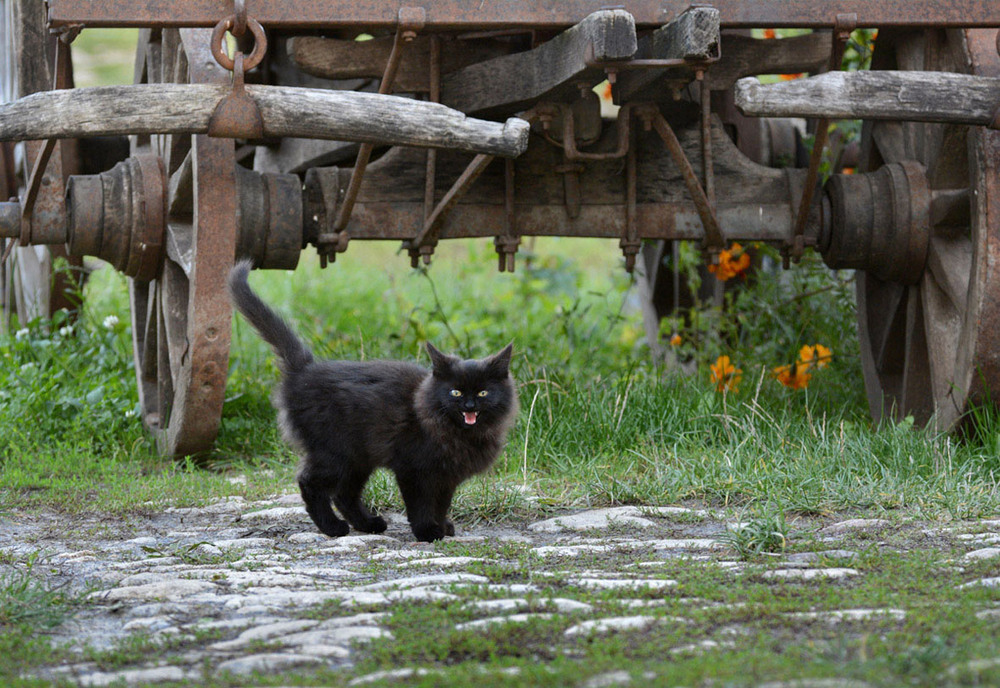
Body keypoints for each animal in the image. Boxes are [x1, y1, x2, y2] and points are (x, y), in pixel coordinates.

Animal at [228, 262, 520, 544]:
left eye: (483, 393)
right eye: (455, 393)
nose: (469, 406)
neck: (459, 434)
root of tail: (305, 371)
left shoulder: (447, 476)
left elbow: (441, 503)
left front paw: (443, 525)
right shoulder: (413, 469)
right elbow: (421, 505)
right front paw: (427, 531)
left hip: (358, 457)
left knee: (344, 494)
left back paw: (368, 524)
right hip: (335, 451)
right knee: (310, 483)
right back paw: (333, 527)